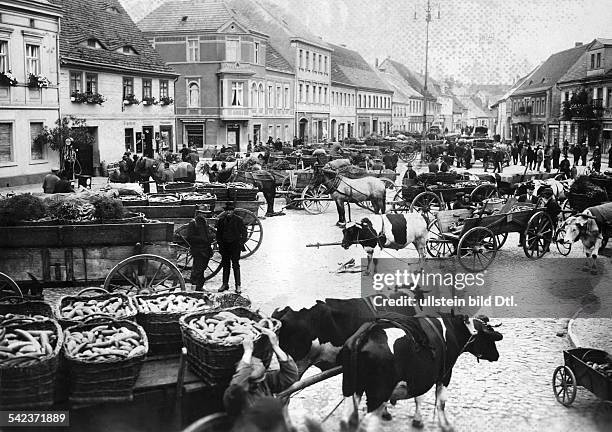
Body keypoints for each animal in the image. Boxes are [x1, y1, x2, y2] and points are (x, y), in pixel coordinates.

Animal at [340, 314, 502, 432]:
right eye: (489, 337)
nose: (497, 355)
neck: (451, 331)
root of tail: (366, 334)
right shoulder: (444, 375)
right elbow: (440, 402)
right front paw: (445, 425)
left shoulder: (420, 376)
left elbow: (419, 397)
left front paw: (417, 420)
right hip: (378, 394)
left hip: (351, 388)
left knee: (346, 418)